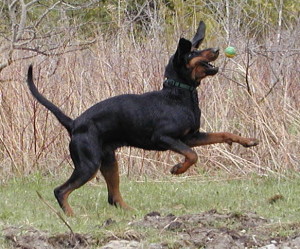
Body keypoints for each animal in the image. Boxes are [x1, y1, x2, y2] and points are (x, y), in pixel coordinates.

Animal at [27, 21, 258, 216]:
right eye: (193, 51)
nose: (217, 50)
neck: (178, 95)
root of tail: (74, 123)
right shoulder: (164, 138)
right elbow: (192, 156)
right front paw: (178, 169)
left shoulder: (191, 137)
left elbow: (223, 134)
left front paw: (247, 141)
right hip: (88, 165)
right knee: (61, 191)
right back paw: (72, 216)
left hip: (108, 161)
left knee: (113, 197)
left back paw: (132, 212)